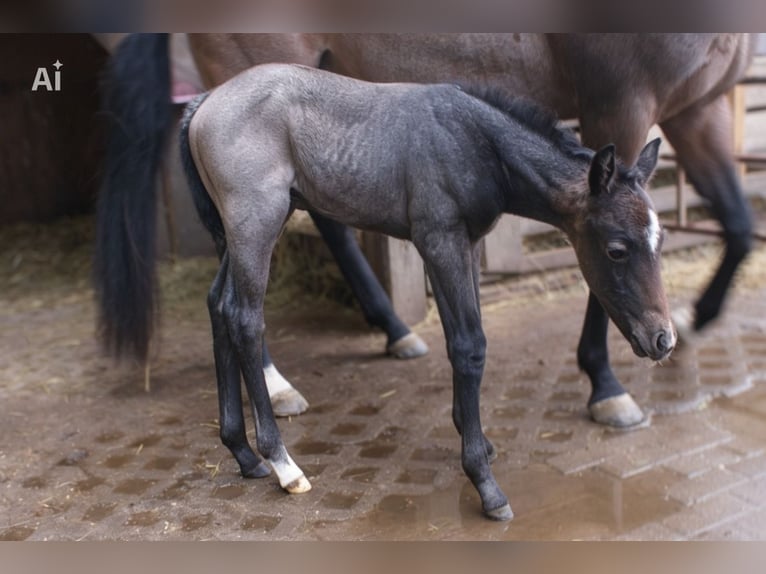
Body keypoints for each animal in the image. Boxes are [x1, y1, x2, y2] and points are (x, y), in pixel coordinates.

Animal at [179, 62, 673, 520]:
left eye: (660, 238)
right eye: (616, 249)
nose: (662, 340)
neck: (478, 143)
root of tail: (203, 102)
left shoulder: (466, 244)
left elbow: (461, 341)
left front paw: (479, 442)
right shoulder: (439, 239)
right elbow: (470, 346)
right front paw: (485, 483)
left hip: (253, 227)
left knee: (219, 305)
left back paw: (243, 454)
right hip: (256, 222)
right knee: (245, 318)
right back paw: (283, 465)